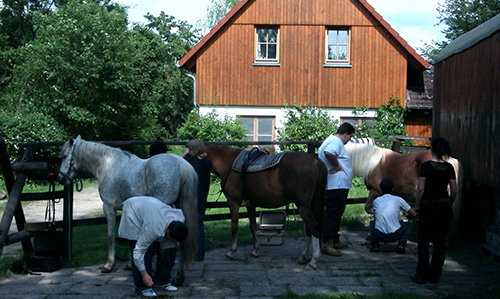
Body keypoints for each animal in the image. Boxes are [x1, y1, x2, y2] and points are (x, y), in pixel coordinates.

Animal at [57, 137, 198, 286]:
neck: (107, 164)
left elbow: (110, 236)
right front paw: (130, 264)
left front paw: (109, 265)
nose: (60, 178)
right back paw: (178, 278)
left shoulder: (109, 207)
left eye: (64, 156)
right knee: (182, 238)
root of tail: (183, 166)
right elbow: (129, 236)